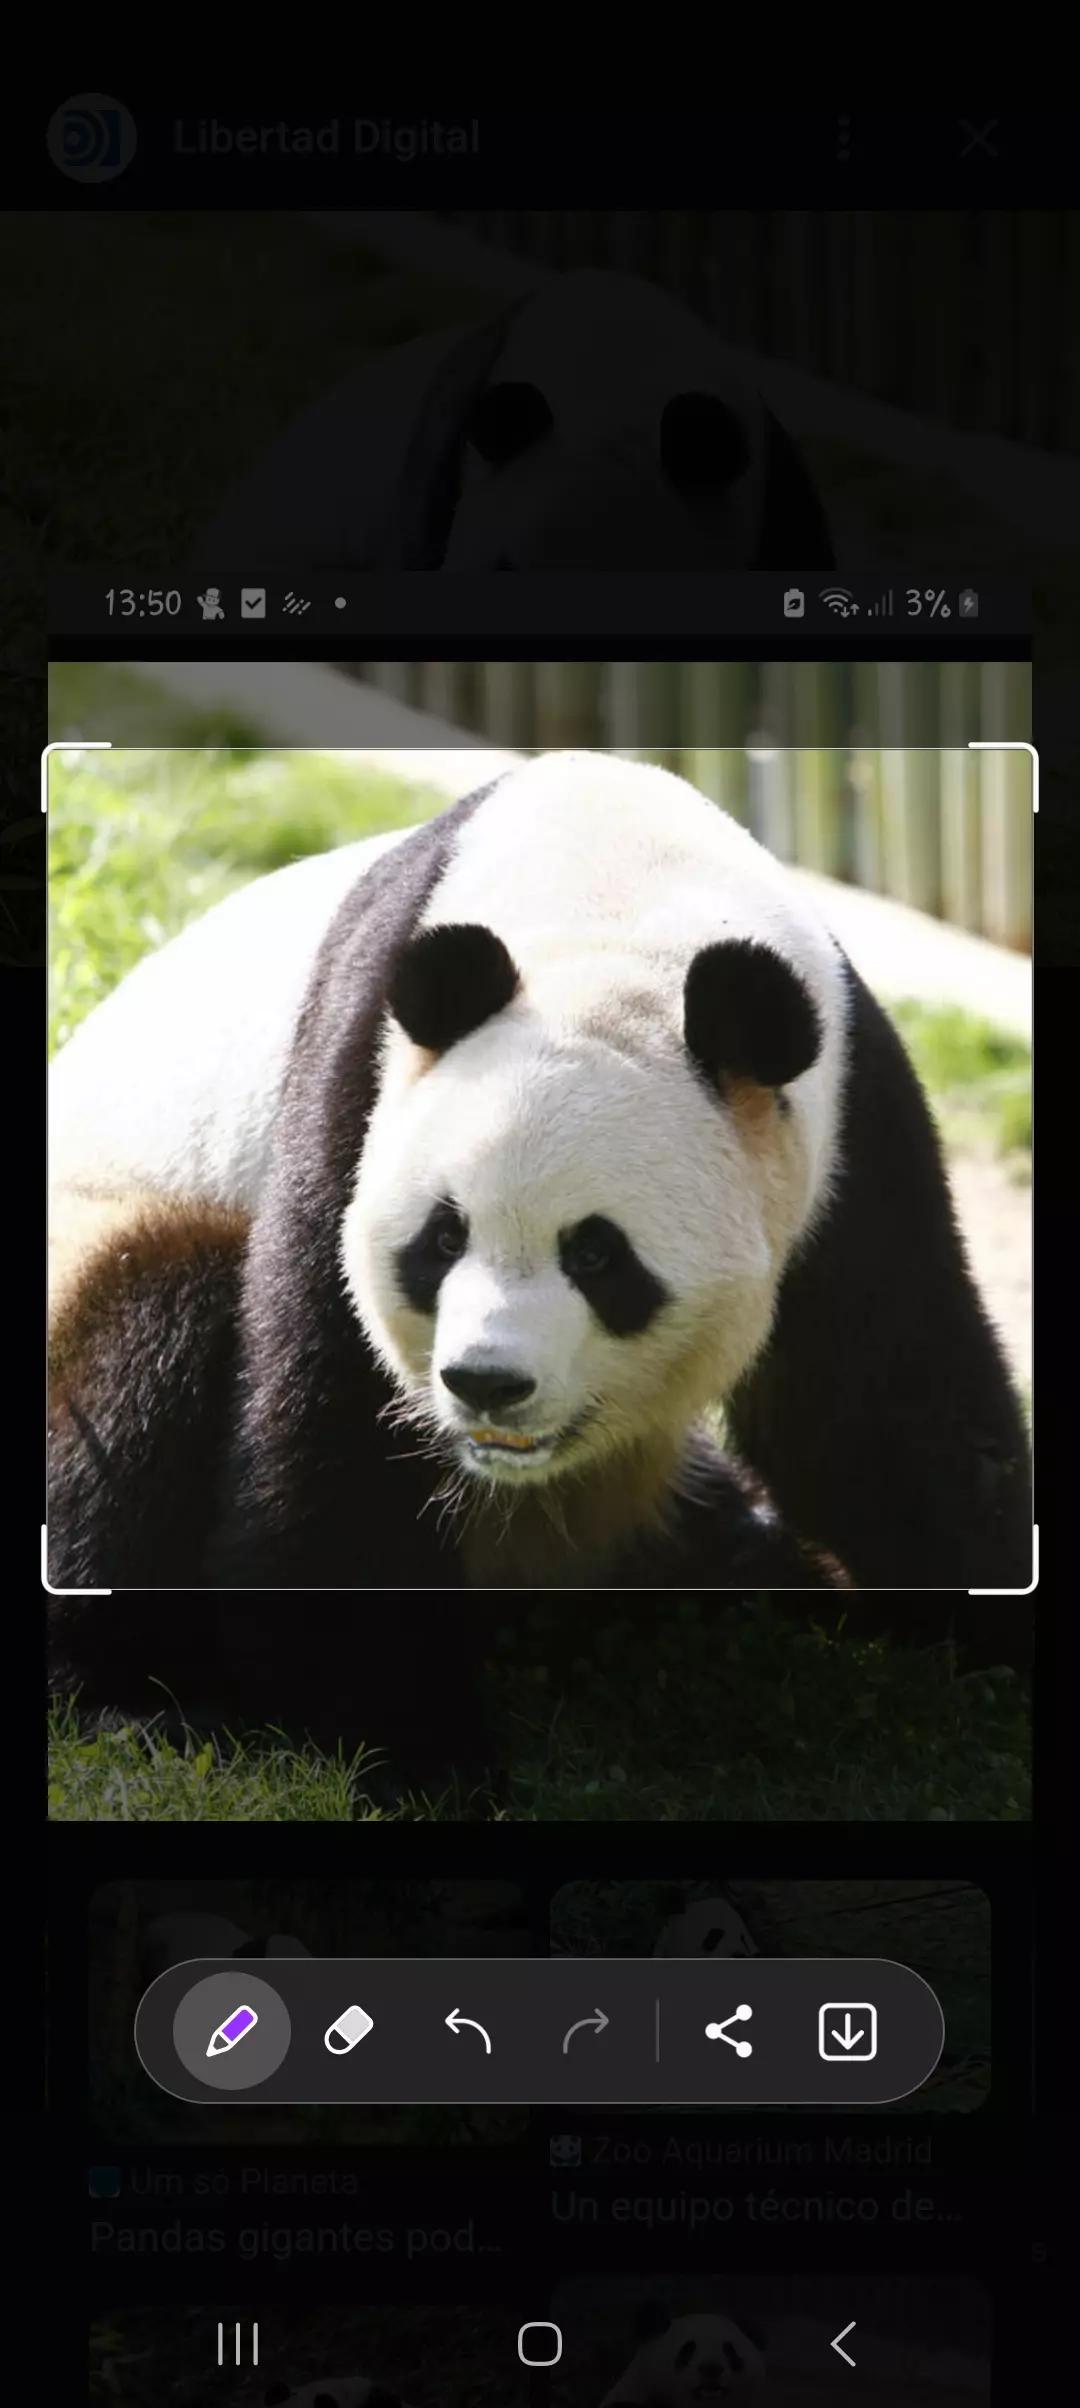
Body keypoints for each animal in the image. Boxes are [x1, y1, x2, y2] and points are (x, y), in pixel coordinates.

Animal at [47, 754, 1031, 1763]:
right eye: (444, 1239)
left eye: (597, 1255)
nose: (486, 1382)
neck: (612, 903)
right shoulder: (355, 1087)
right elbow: (331, 1410)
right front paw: (408, 1748)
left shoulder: (845, 1124)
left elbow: (884, 1413)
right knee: (152, 1349)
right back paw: (139, 1699)